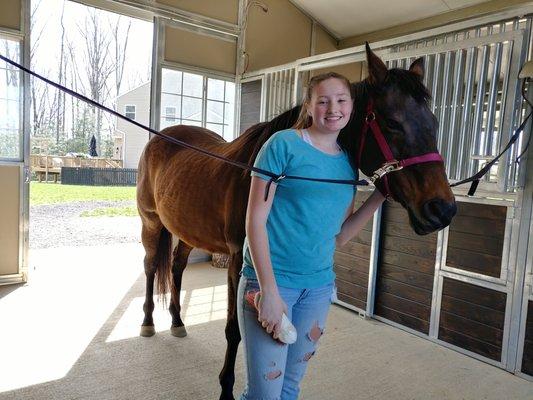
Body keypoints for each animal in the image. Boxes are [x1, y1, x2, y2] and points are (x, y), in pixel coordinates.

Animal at [136, 45, 454, 398]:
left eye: (433, 122)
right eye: (392, 122)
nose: (442, 209)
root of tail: (162, 137)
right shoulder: (238, 262)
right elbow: (233, 330)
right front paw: (225, 387)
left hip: (186, 230)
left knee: (176, 267)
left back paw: (178, 322)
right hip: (151, 224)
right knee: (151, 266)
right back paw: (148, 323)